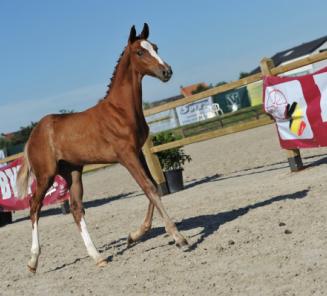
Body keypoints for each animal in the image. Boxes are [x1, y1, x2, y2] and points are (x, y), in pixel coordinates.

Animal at [16, 23, 188, 272]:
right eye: (140, 52)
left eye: (155, 47)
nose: (167, 71)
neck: (121, 111)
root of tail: (33, 134)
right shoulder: (126, 156)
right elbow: (149, 188)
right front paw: (179, 238)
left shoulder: (137, 153)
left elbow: (153, 186)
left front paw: (134, 235)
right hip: (45, 175)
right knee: (34, 207)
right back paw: (32, 261)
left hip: (73, 172)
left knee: (76, 208)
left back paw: (97, 256)